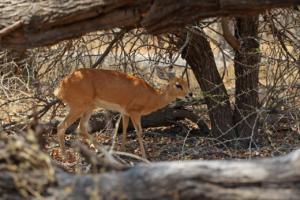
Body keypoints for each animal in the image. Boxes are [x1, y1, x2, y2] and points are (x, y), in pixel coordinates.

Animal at [54, 66, 190, 159]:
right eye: (178, 85)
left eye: (186, 83)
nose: (190, 94)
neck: (151, 97)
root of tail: (61, 87)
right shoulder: (135, 112)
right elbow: (139, 132)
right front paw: (145, 156)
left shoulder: (125, 112)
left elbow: (124, 128)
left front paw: (123, 150)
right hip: (78, 107)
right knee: (61, 126)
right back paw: (65, 156)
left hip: (88, 108)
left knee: (81, 128)